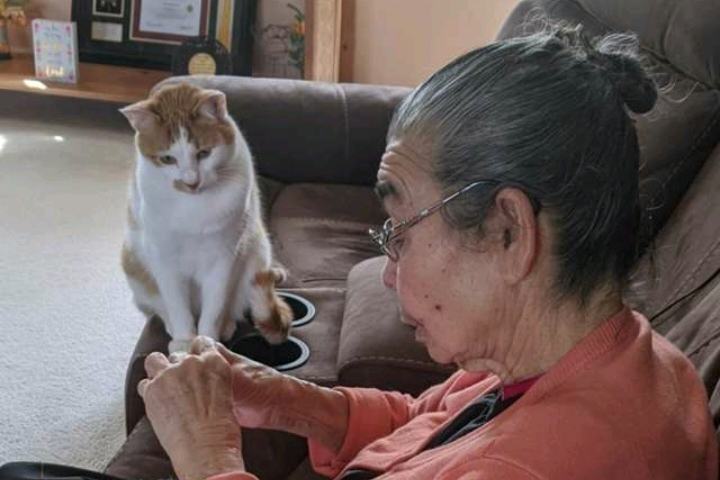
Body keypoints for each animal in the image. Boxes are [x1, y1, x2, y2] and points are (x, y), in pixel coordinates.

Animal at [119, 83, 292, 352]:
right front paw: (185, 342)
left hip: (257, 252)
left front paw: (208, 343)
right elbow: (177, 306)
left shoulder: (223, 257)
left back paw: (227, 325)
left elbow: (215, 307)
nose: (191, 182)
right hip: (132, 263)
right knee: (160, 307)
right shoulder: (165, 259)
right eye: (167, 159)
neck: (194, 206)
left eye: (204, 153)